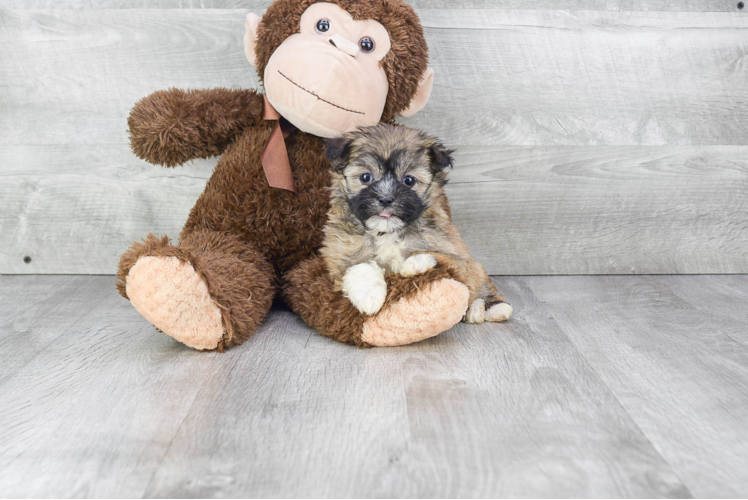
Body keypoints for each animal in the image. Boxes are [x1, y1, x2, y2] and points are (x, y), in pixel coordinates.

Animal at [318, 123, 512, 322]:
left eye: (409, 180)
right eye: (365, 177)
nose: (386, 198)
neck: (387, 231)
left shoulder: (456, 256)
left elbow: (439, 256)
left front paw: (415, 264)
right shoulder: (339, 254)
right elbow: (360, 264)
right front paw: (369, 297)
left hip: (477, 272)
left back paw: (489, 308)